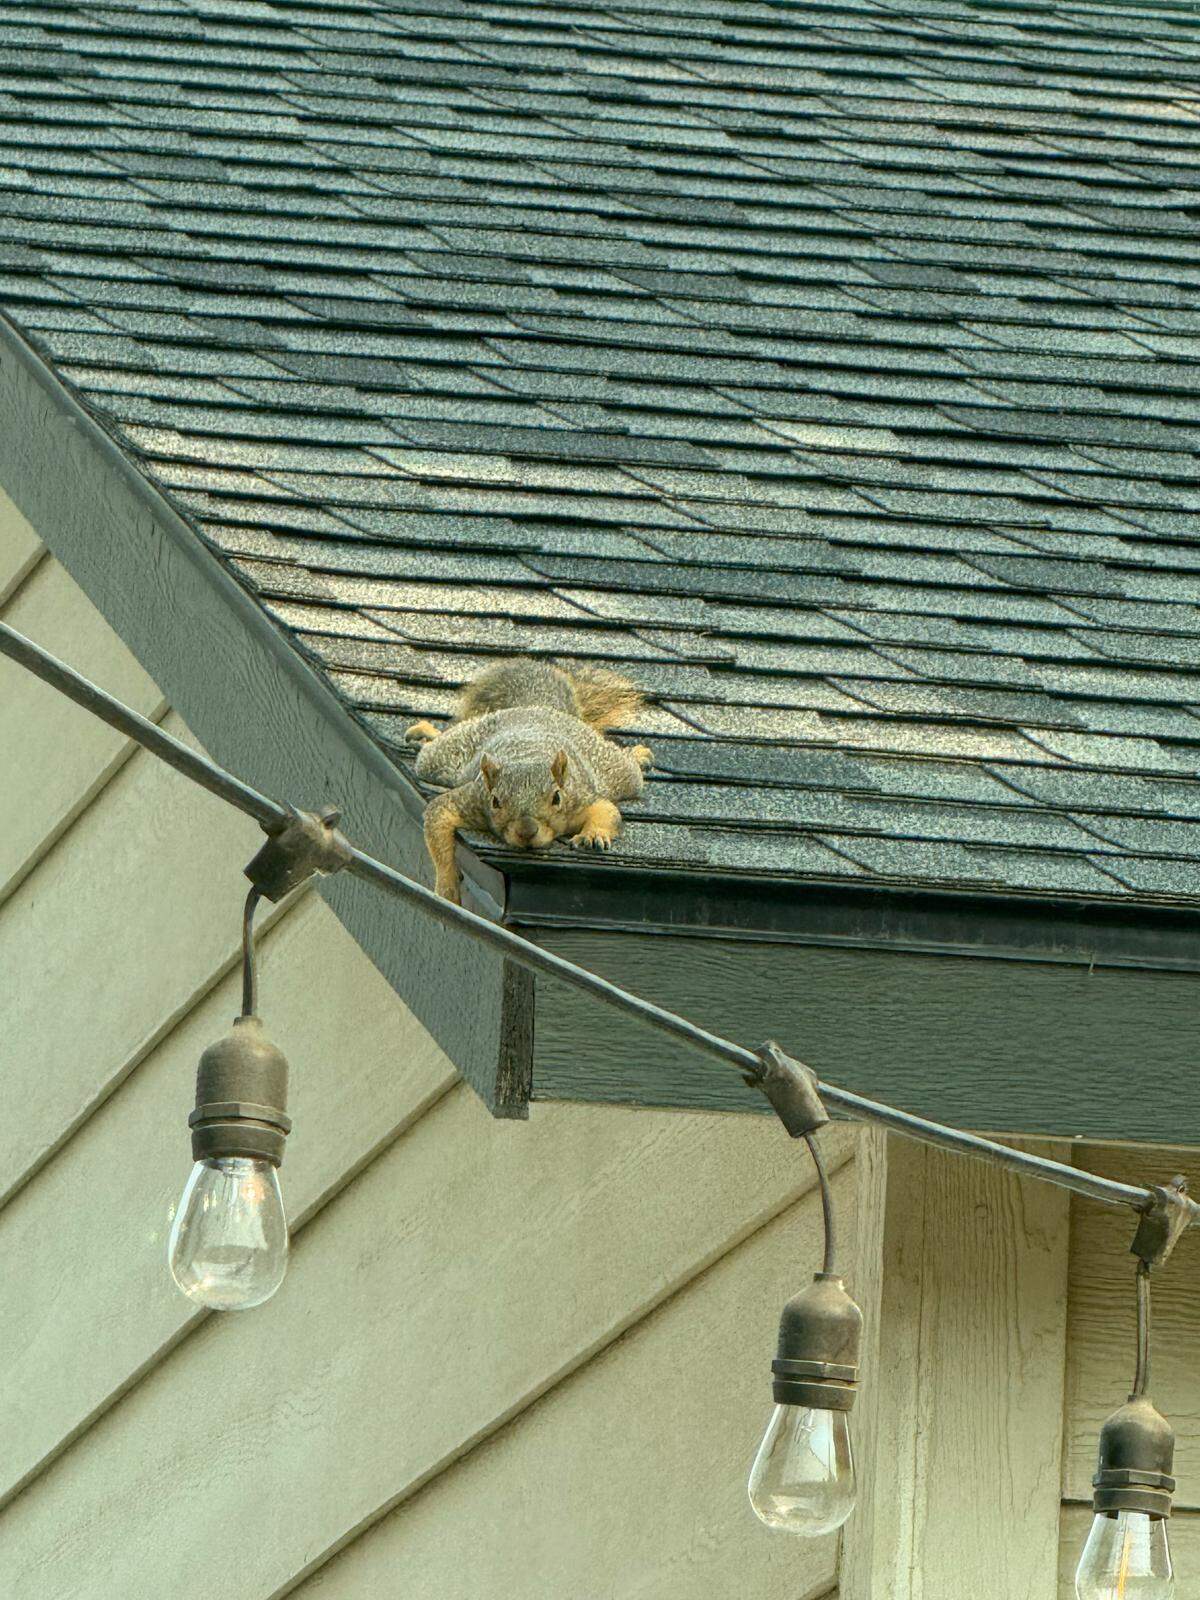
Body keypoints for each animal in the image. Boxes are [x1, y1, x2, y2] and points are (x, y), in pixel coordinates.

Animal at [406, 658, 652, 904]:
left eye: (557, 798)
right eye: (495, 801)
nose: (526, 831)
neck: (527, 758)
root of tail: (536, 707)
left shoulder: (577, 799)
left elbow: (605, 809)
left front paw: (593, 836)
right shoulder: (473, 799)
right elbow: (438, 817)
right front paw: (447, 887)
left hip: (610, 767)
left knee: (627, 770)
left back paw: (638, 755)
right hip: (446, 757)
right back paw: (426, 732)